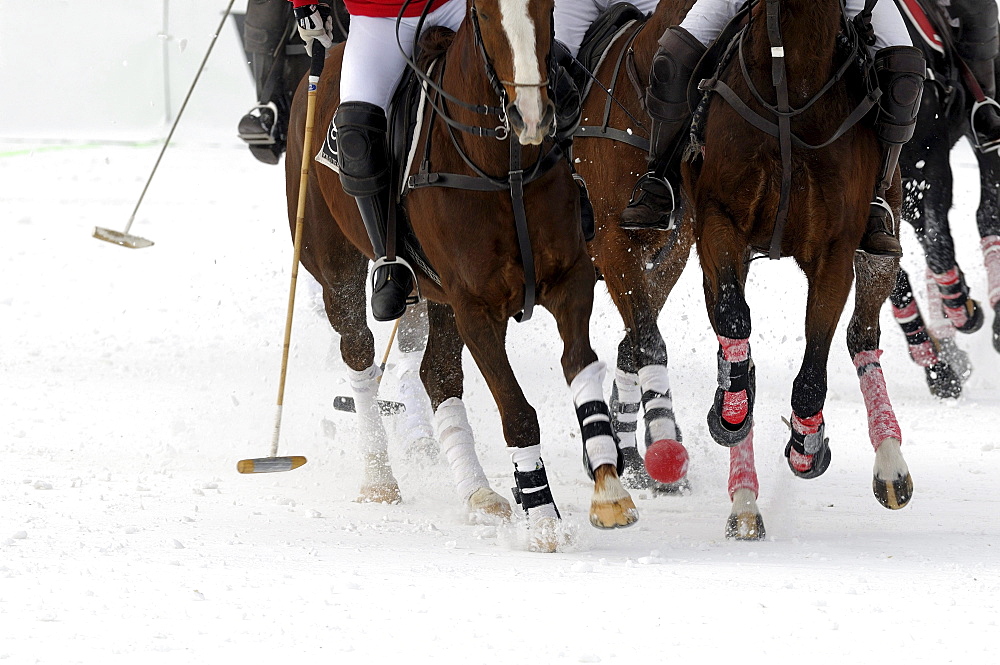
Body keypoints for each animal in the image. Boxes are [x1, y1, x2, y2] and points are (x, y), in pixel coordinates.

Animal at [286, 0, 636, 548]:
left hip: (440, 295)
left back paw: (479, 494)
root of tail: (316, 72)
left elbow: (581, 370)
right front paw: (544, 521)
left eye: (547, 9)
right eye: (487, 17)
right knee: (359, 355)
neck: (503, 163)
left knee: (437, 373)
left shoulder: (570, 282)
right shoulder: (477, 307)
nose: (531, 116)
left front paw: (608, 489)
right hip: (334, 270)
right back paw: (380, 480)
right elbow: (517, 412)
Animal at [688, 0, 916, 536]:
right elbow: (734, 320)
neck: (795, 83)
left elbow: (814, 364)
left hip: (881, 245)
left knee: (862, 335)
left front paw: (806, 445)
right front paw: (731, 411)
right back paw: (744, 499)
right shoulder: (718, 222)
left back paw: (890, 464)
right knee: (732, 330)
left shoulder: (836, 251)